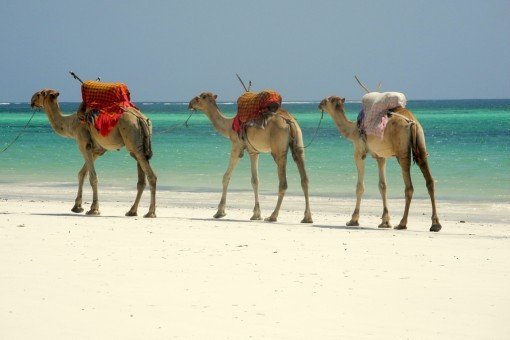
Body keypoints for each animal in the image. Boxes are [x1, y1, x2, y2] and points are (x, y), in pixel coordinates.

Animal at [189, 91, 312, 223]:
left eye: (199, 98)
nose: (190, 103)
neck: (229, 126)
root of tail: (289, 121)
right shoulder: (254, 152)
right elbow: (255, 180)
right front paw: (256, 214)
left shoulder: (237, 146)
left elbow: (226, 177)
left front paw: (219, 212)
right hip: (298, 144)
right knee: (304, 178)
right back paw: (307, 217)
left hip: (278, 150)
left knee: (283, 182)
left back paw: (272, 216)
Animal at [318, 97, 442, 232]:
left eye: (326, 100)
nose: (319, 105)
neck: (353, 130)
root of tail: (412, 122)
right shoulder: (380, 157)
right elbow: (383, 186)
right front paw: (385, 222)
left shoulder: (359, 153)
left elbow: (360, 187)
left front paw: (353, 220)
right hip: (421, 142)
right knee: (429, 180)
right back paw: (435, 224)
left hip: (402, 151)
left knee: (409, 187)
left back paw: (402, 223)